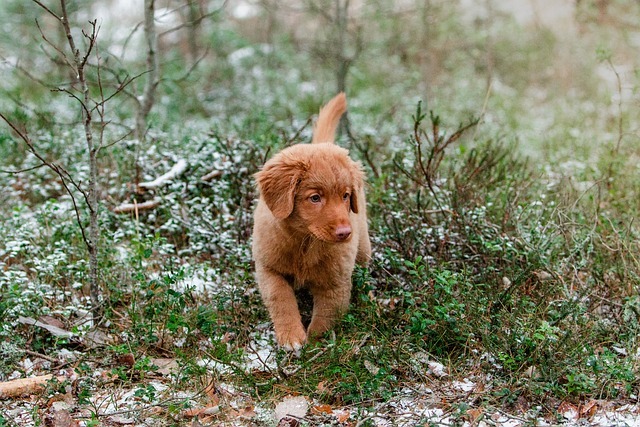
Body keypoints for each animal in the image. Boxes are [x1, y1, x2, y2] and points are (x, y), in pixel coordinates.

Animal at [251, 93, 370, 352]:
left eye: (345, 196)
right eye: (315, 198)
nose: (345, 232)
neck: (305, 243)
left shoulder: (336, 282)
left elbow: (325, 316)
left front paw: (316, 345)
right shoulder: (268, 267)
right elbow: (281, 297)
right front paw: (291, 336)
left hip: (364, 246)